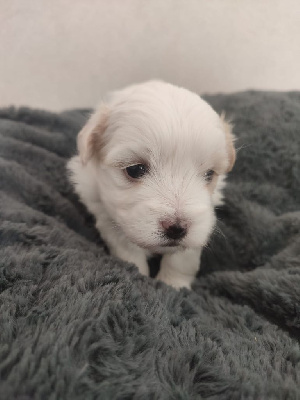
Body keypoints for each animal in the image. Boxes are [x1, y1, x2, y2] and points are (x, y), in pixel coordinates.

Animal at [67, 80, 234, 288]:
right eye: (134, 169)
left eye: (209, 174)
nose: (177, 228)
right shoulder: (108, 215)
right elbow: (128, 251)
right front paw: (137, 275)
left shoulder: (202, 218)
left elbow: (183, 257)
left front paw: (174, 285)